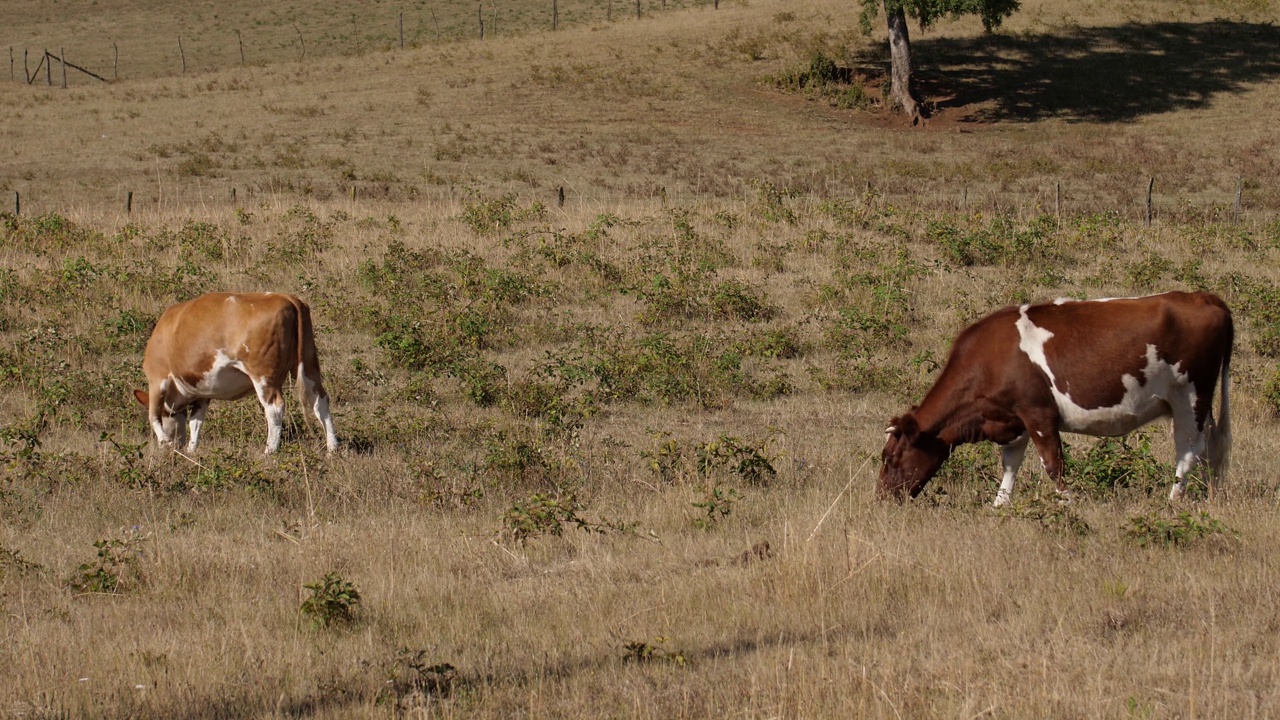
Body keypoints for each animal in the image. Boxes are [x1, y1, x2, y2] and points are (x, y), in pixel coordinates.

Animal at [133, 288, 340, 450]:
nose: (177, 446)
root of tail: (286, 297)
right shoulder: (203, 390)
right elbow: (196, 422)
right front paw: (192, 451)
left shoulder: (157, 378)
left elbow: (153, 415)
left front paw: (165, 441)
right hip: (308, 364)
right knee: (320, 400)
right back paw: (332, 449)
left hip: (263, 374)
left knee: (275, 408)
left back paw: (270, 451)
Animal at [880, 288, 1228, 502]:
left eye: (891, 458)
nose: (882, 497)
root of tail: (1204, 296)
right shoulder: (1013, 420)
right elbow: (1010, 467)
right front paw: (999, 508)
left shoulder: (1038, 414)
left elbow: (1053, 465)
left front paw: (1068, 505)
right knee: (1211, 447)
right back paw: (1210, 494)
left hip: (1190, 397)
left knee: (1188, 452)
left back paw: (1173, 501)